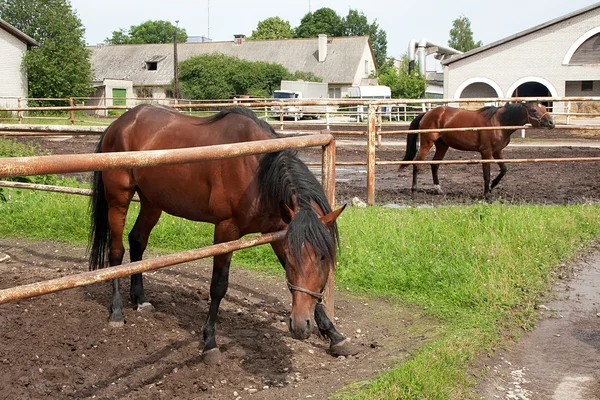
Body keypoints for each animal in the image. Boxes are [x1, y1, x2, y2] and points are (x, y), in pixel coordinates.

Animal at [400, 101, 556, 197]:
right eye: (534, 110)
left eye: (544, 108)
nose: (551, 123)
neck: (499, 122)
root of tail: (427, 113)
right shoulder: (486, 152)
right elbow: (486, 174)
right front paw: (486, 194)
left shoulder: (497, 151)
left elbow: (504, 170)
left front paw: (492, 186)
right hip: (427, 143)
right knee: (417, 164)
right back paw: (414, 189)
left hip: (442, 145)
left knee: (435, 165)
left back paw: (438, 189)